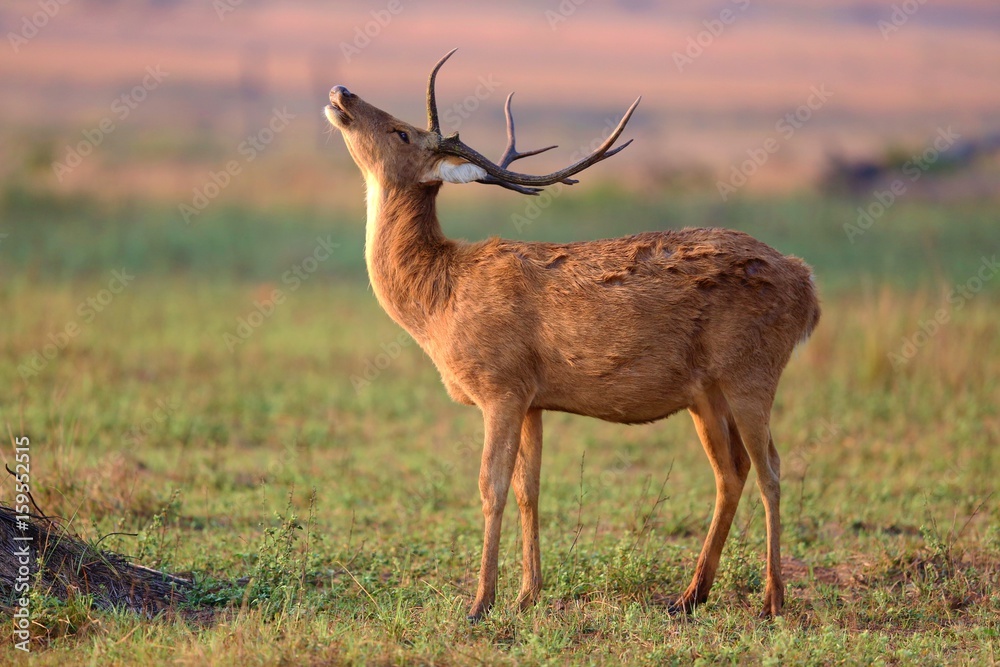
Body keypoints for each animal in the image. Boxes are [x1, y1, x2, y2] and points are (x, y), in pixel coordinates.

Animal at [325, 49, 820, 621]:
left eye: (402, 132)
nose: (342, 91)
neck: (437, 301)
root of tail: (807, 286)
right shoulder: (533, 398)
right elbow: (529, 489)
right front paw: (527, 594)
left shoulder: (501, 386)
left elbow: (490, 487)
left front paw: (480, 601)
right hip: (705, 393)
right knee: (732, 470)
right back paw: (689, 595)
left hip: (752, 371)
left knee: (772, 469)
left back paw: (772, 599)